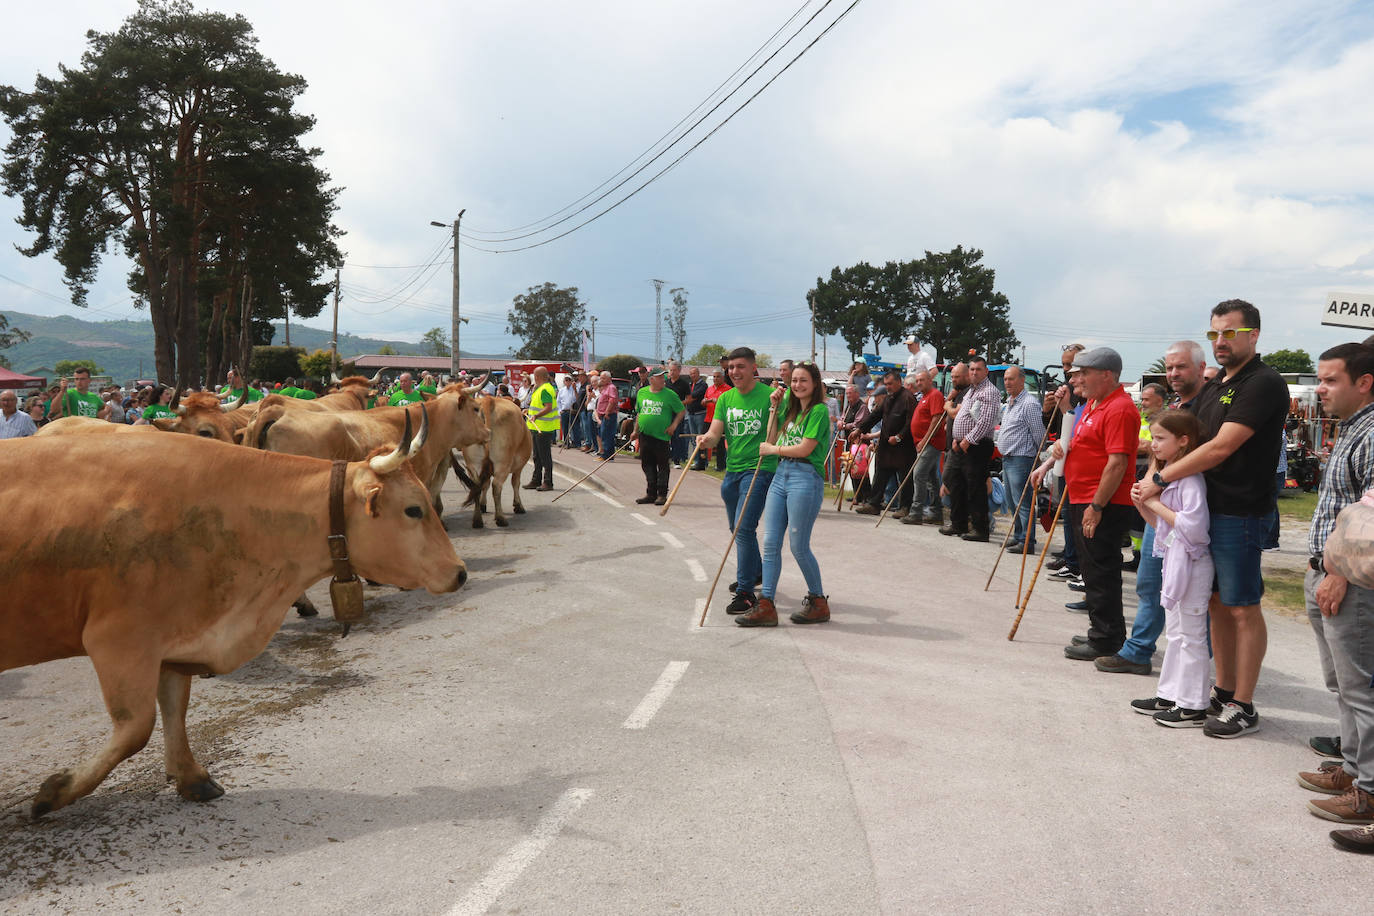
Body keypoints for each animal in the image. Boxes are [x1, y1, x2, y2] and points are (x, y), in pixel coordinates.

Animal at [0, 414, 467, 818]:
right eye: (413, 509)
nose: (460, 573)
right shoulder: (118, 639)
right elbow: (136, 728)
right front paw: (54, 792)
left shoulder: (174, 634)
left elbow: (174, 708)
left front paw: (191, 777)